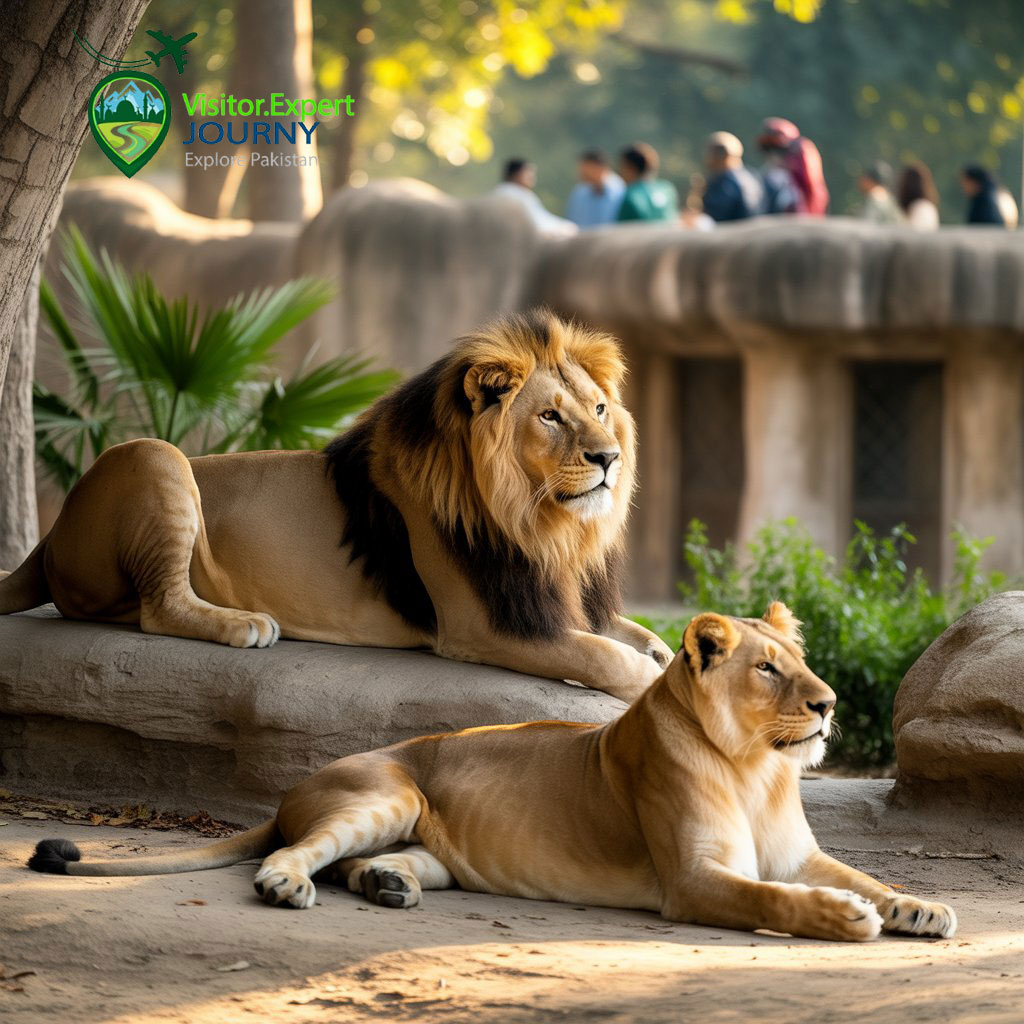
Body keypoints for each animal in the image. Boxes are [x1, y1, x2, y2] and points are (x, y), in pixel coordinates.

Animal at [0, 309, 669, 702]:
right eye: (550, 417)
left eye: (600, 409)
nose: (609, 458)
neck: (545, 524)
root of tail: (50, 532)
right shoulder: (482, 625)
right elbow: (606, 658)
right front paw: (650, 681)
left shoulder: (556, 598)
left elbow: (633, 636)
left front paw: (665, 652)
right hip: (153, 455)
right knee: (152, 609)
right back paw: (246, 624)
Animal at [28, 602, 955, 942]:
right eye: (767, 669)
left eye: (800, 660)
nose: (828, 703)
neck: (757, 769)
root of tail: (297, 786)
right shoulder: (694, 880)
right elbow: (778, 900)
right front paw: (844, 918)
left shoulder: (796, 853)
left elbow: (865, 873)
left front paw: (920, 906)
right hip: (388, 791)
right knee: (291, 853)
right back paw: (289, 885)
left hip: (426, 840)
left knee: (370, 863)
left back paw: (387, 887)